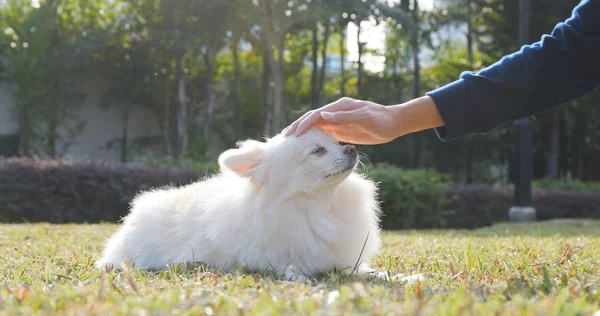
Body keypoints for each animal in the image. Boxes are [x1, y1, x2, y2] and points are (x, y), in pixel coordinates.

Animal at [97, 127, 418, 282]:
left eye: (337, 143)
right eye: (318, 151)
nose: (351, 148)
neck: (316, 206)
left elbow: (363, 270)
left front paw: (399, 276)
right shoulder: (266, 257)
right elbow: (285, 266)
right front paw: (299, 278)